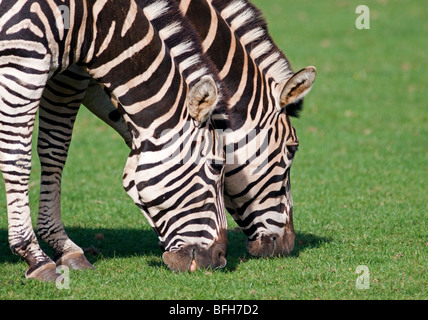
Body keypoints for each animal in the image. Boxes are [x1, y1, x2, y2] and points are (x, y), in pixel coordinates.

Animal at [0, 0, 229, 280]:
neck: (90, 18)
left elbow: (54, 150)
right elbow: (17, 158)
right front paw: (34, 256)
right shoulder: (23, 63)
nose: (220, 259)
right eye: (216, 167)